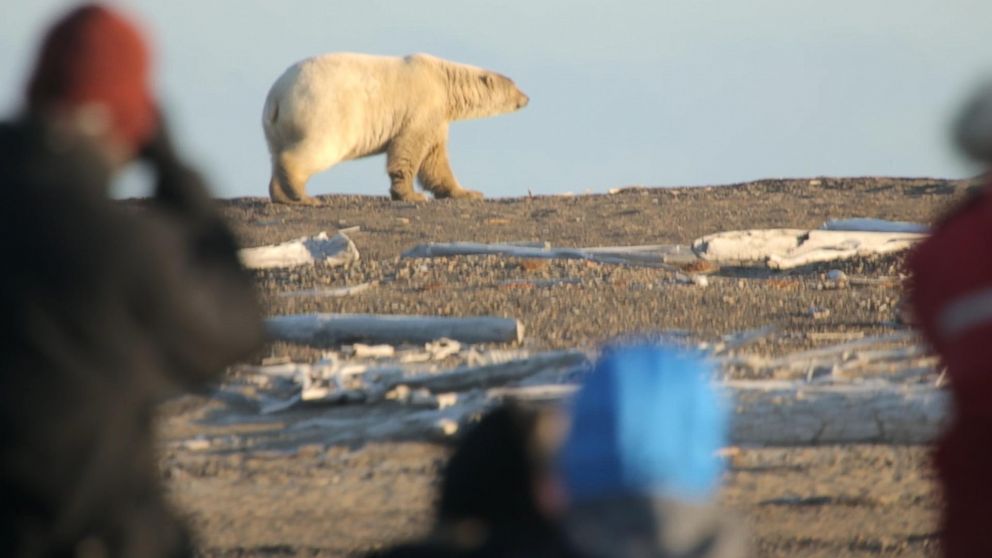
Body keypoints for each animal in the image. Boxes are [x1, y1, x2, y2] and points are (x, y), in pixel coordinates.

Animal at [262, 52, 528, 206]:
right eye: (515, 85)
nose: (527, 98)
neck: (444, 80)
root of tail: (277, 97)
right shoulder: (422, 106)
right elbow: (408, 149)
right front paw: (411, 195)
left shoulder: (436, 117)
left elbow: (435, 159)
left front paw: (467, 192)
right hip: (324, 111)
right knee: (318, 149)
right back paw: (304, 196)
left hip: (276, 126)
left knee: (276, 153)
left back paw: (281, 195)